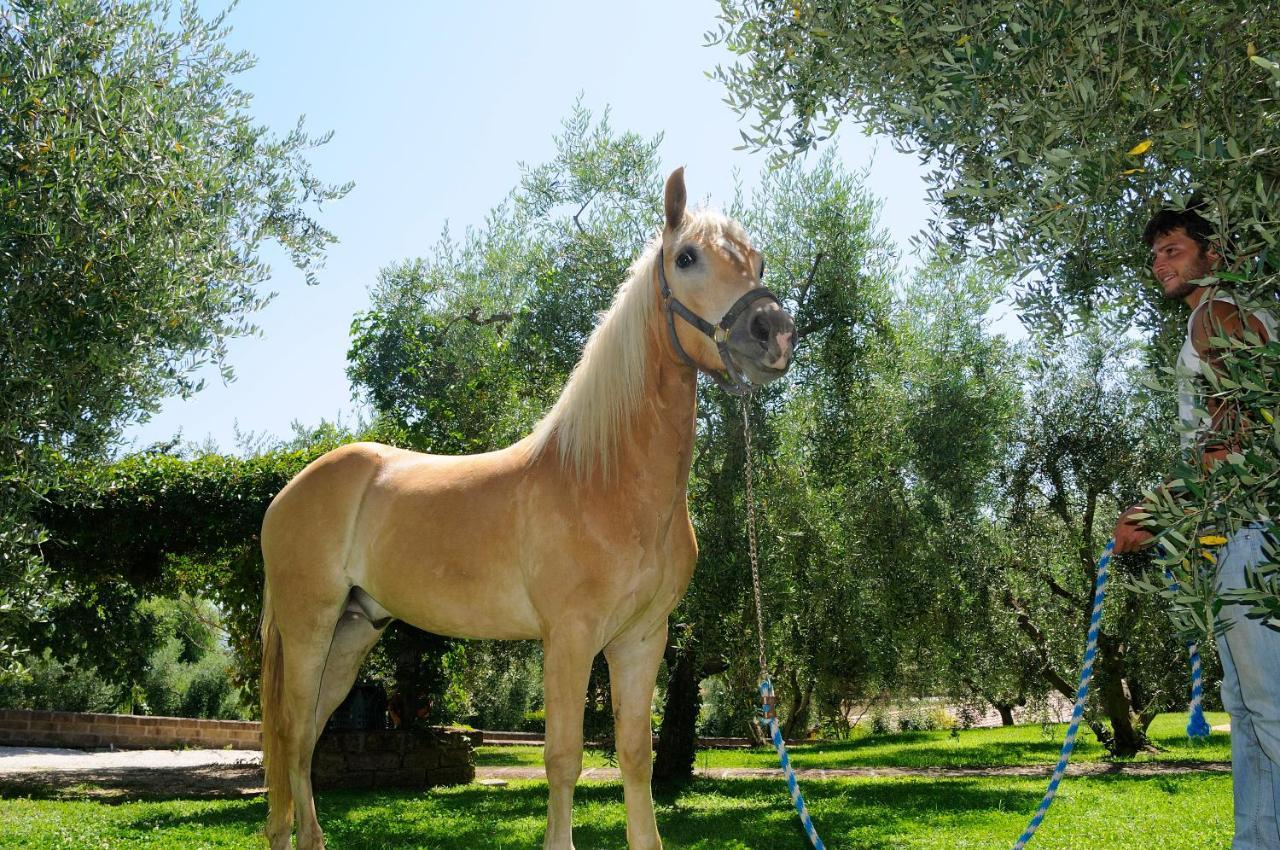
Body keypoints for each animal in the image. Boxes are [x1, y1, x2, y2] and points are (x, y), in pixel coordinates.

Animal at [258, 167, 793, 850]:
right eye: (687, 257)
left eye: (758, 261)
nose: (775, 333)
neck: (605, 482)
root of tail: (288, 492)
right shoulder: (569, 637)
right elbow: (563, 756)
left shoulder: (641, 639)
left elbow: (634, 755)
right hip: (310, 626)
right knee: (290, 734)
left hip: (353, 631)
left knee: (306, 742)